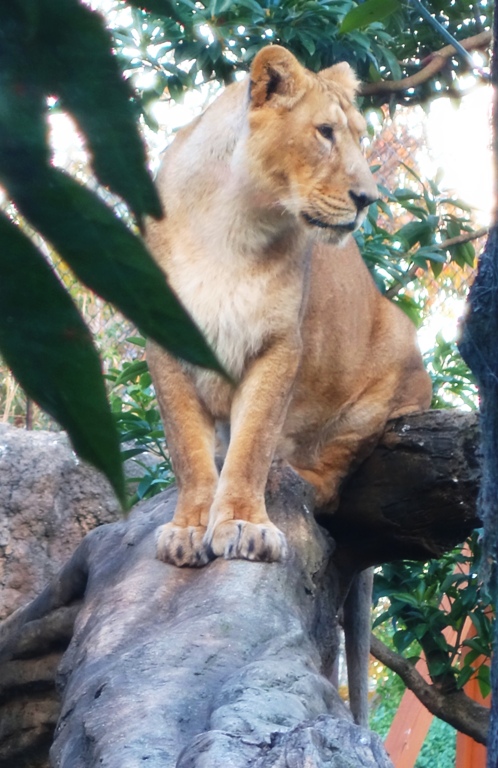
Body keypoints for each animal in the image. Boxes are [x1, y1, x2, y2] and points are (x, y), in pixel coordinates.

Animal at [146, 45, 432, 571]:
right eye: (325, 132)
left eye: (360, 137)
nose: (368, 199)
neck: (231, 224)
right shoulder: (165, 341)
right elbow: (187, 451)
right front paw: (188, 529)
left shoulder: (279, 343)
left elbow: (253, 444)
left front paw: (244, 525)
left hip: (393, 359)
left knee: (327, 480)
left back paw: (297, 477)